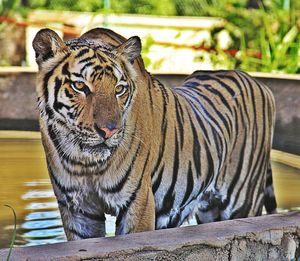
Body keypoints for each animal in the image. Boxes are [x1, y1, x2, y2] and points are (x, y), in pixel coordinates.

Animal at [32, 27, 276, 239]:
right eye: (80, 86)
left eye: (119, 89)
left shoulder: (137, 201)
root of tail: (261, 84)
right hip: (211, 211)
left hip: (242, 203)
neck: (85, 163)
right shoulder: (78, 209)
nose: (109, 130)